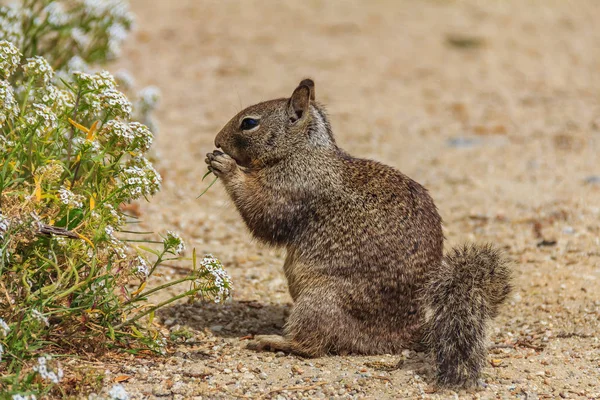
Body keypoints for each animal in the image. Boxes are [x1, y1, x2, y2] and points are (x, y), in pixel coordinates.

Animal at [205, 78, 510, 388]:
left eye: (249, 123)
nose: (217, 141)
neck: (302, 152)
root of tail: (405, 334)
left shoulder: (293, 187)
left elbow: (263, 213)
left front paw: (225, 166)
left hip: (319, 301)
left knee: (312, 345)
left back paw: (273, 341)